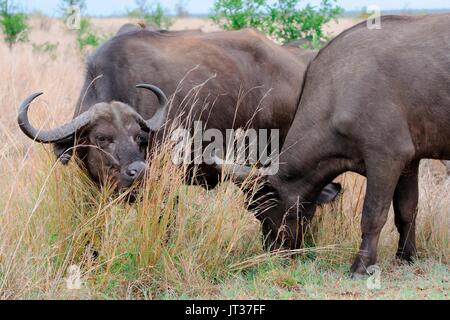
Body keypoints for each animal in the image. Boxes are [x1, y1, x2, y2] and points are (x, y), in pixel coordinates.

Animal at [216, 15, 448, 278]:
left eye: (263, 211)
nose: (271, 253)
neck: (339, 93)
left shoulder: (387, 157)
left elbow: (373, 215)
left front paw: (361, 266)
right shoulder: (410, 161)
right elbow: (406, 211)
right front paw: (406, 256)